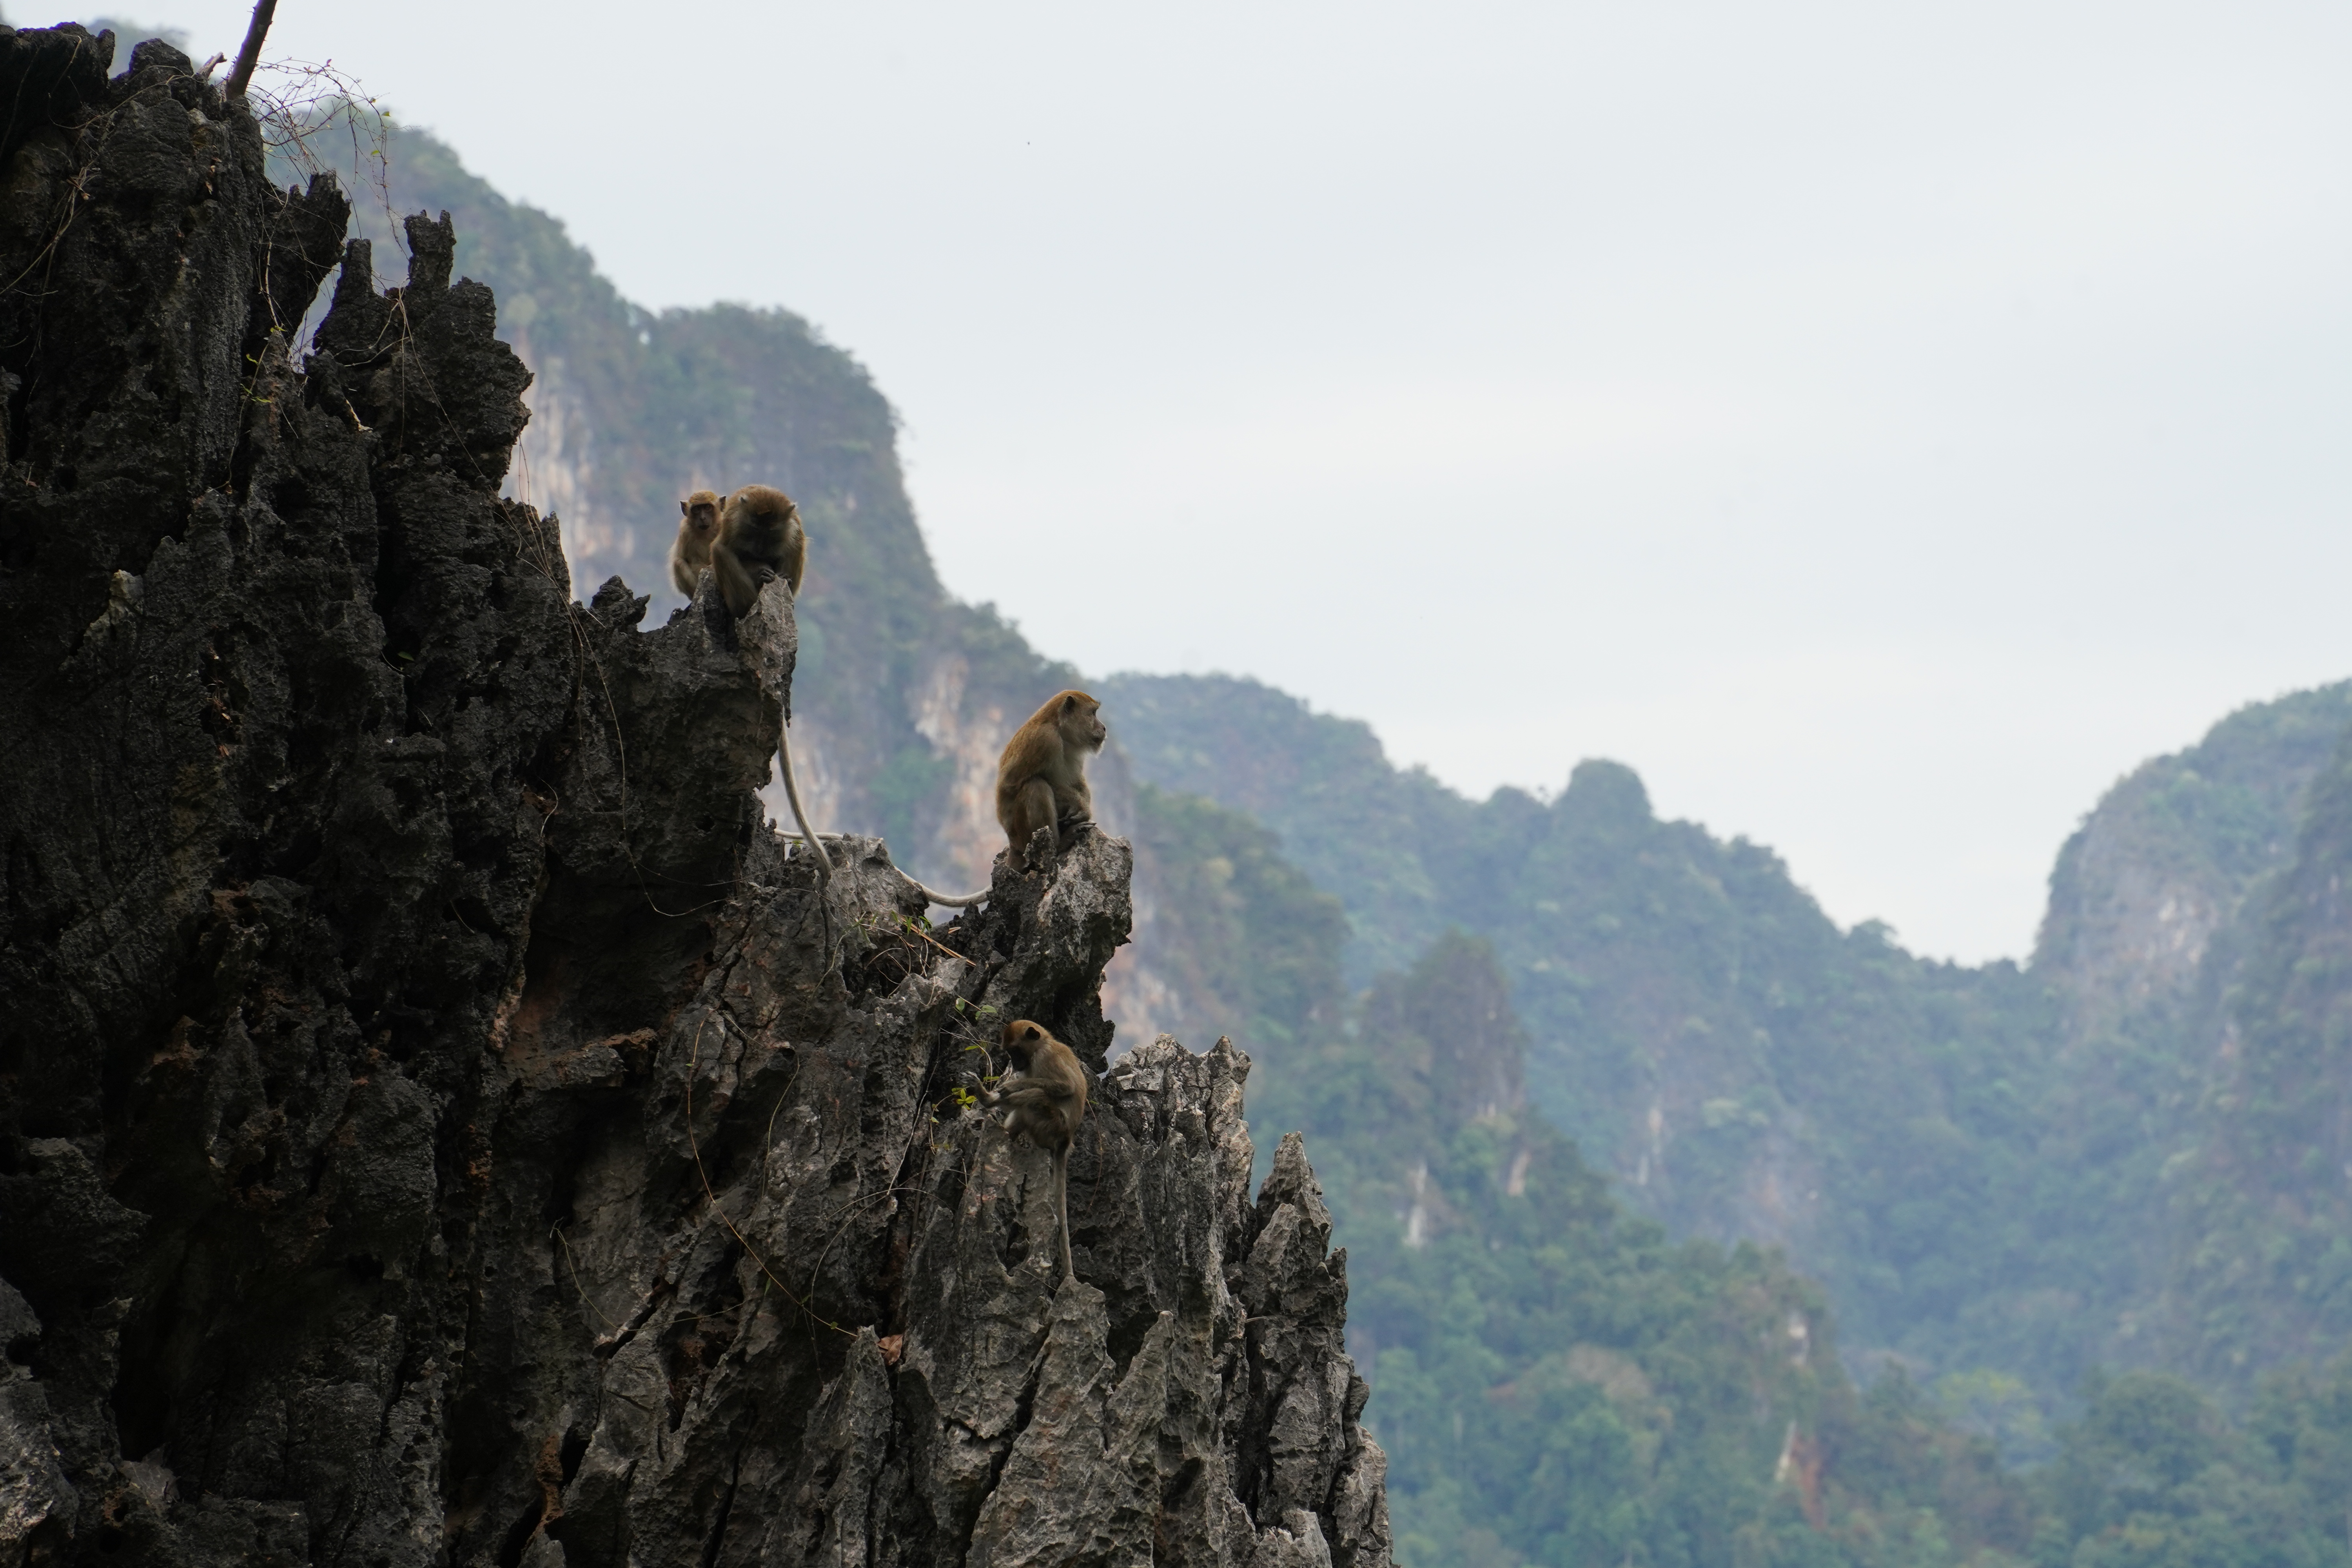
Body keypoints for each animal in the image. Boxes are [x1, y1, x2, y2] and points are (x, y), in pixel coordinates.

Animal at [669, 489, 723, 597]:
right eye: (697, 509)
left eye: (708, 507)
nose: (703, 518)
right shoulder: (686, 531)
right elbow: (696, 562)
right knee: (678, 563)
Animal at [711, 484, 808, 618]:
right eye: (755, 530)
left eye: (771, 533)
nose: (760, 549)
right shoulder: (731, 527)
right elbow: (725, 549)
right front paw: (760, 573)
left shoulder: (795, 529)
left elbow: (795, 546)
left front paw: (786, 579)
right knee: (720, 551)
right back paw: (746, 607)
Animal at [981, 1019, 1089, 1283]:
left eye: (1016, 1051)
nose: (1016, 1064)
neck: (1042, 1045)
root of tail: (1066, 1140)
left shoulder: (1045, 1057)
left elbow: (1065, 1087)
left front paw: (1014, 1085)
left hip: (1051, 1124)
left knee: (1039, 1095)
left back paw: (988, 1100)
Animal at [995, 690, 1106, 872]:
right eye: (1093, 713)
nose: (1103, 727)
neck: (1060, 731)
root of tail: (1013, 845)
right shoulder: (1045, 740)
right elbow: (1011, 784)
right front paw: (1079, 804)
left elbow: (1077, 782)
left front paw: (1084, 807)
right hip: (1022, 835)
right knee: (1036, 786)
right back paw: (1059, 845)